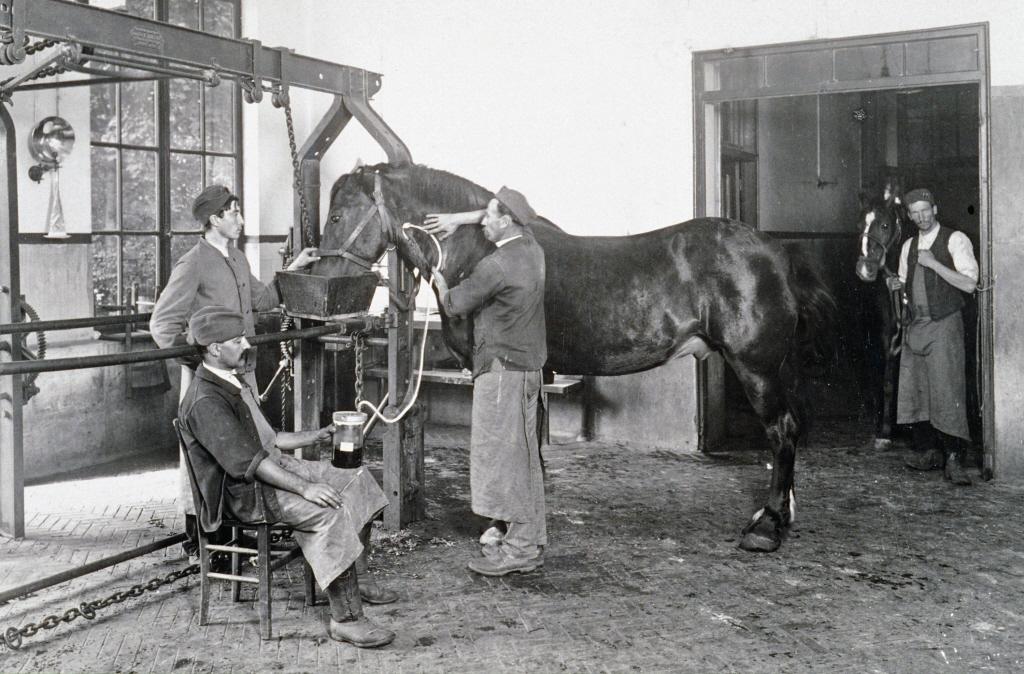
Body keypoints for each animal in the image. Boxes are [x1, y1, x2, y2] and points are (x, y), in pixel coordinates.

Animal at [315, 162, 835, 553]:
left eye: (337, 217)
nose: (331, 290)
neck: (482, 250)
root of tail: (775, 252)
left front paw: (502, 523)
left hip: (756, 368)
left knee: (781, 431)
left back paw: (767, 527)